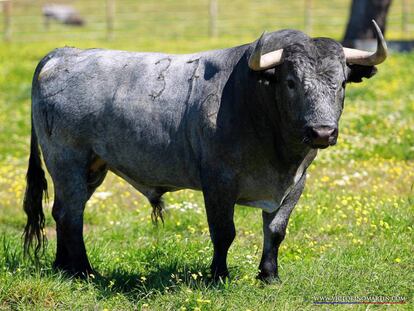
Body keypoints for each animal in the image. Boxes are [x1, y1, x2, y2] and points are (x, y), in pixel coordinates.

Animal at [22, 26, 384, 282]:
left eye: (342, 83)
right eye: (291, 82)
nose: (322, 132)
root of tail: (64, 53)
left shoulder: (295, 184)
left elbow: (276, 230)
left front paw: (269, 275)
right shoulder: (218, 182)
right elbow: (224, 232)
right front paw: (218, 276)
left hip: (92, 168)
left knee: (62, 211)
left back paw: (63, 267)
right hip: (67, 160)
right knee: (72, 215)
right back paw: (83, 270)